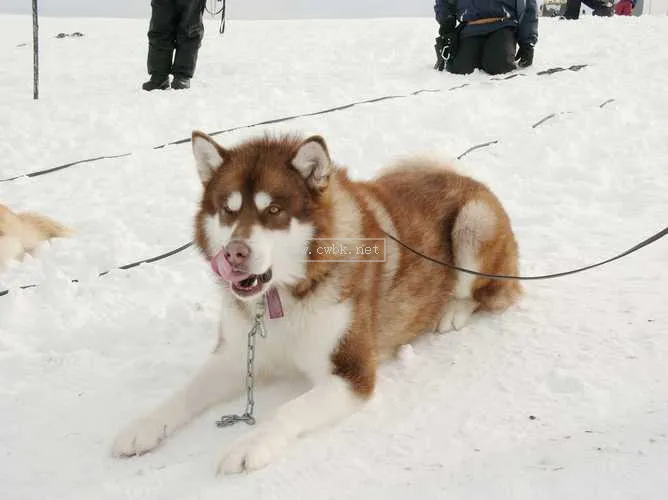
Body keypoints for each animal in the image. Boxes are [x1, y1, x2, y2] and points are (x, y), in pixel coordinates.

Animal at [112, 129, 524, 472]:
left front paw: (249, 444)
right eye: (228, 209)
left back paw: (452, 311)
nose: (234, 254)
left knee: (490, 292)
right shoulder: (237, 354)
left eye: (273, 210)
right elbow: (185, 391)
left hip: (474, 222)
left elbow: (287, 411)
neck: (281, 299)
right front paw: (144, 425)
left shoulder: (352, 374)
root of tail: (462, 175)